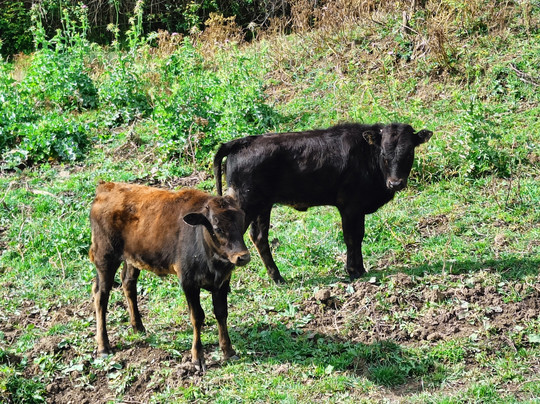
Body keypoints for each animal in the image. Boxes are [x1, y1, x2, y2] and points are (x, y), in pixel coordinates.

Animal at [89, 181, 250, 371]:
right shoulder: (188, 282)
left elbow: (221, 312)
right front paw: (197, 357)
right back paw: (103, 346)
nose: (243, 257)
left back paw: (138, 327)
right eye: (217, 228)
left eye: (242, 221)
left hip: (132, 259)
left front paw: (228, 351)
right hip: (105, 258)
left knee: (128, 284)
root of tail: (107, 186)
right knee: (101, 294)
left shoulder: (223, 282)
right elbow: (197, 316)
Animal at [213, 123, 432, 284]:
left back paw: (278, 278)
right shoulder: (350, 206)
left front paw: (360, 269)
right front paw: (354, 271)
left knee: (259, 237)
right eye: (384, 155)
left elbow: (358, 237)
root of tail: (243, 141)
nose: (395, 183)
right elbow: (352, 238)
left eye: (409, 153)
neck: (367, 155)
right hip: (247, 204)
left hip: (262, 206)